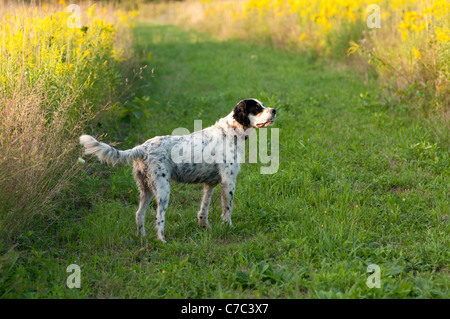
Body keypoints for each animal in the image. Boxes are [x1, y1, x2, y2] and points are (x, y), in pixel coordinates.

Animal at [81, 98, 278, 242]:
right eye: (257, 108)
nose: (275, 110)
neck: (230, 132)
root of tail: (142, 147)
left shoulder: (210, 184)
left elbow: (203, 210)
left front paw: (205, 228)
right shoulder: (228, 182)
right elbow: (227, 210)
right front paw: (228, 227)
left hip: (146, 190)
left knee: (139, 215)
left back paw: (142, 238)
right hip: (163, 190)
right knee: (159, 218)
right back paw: (162, 241)